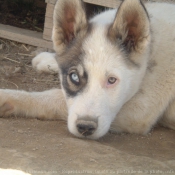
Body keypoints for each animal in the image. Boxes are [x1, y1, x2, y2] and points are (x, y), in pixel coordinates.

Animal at [0, 0, 175, 139]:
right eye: (74, 77)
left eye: (112, 80)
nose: (85, 127)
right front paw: (48, 59)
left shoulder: (139, 111)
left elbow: (55, 97)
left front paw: (10, 97)